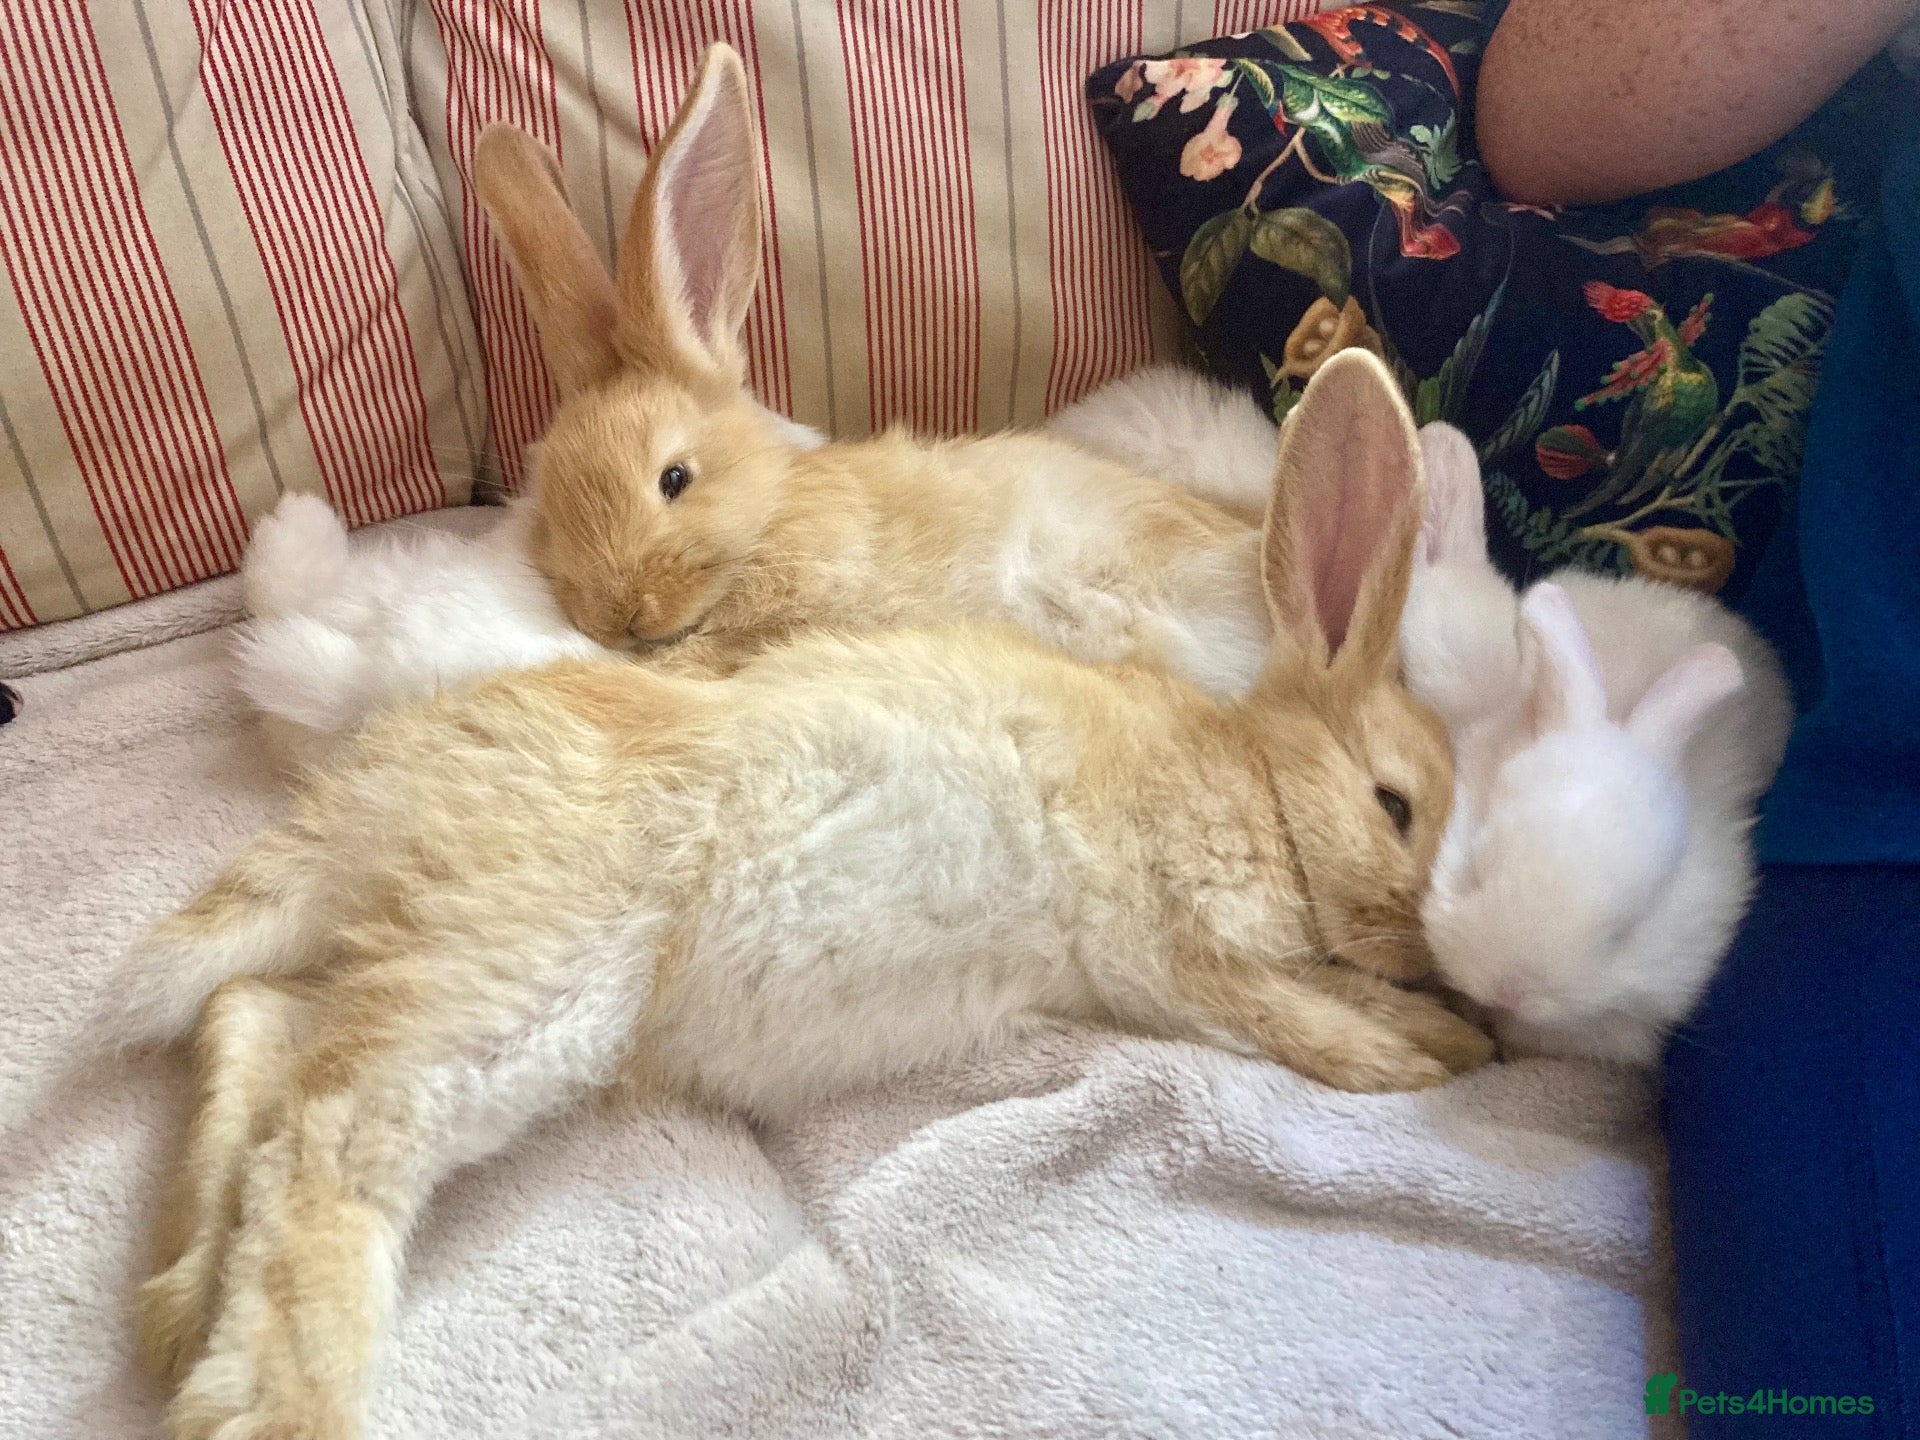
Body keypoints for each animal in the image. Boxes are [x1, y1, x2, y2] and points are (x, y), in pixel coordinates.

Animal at [111, 345, 1488, 1440]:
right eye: (1396, 806)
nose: (1448, 969)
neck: (1259, 781)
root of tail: (380, 791)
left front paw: (1444, 1034)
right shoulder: (1171, 944)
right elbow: (1285, 1014)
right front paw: (1419, 1059)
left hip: (443, 948)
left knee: (260, 1025)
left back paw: (176, 1306)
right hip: (534, 963)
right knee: (333, 1134)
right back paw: (271, 1402)